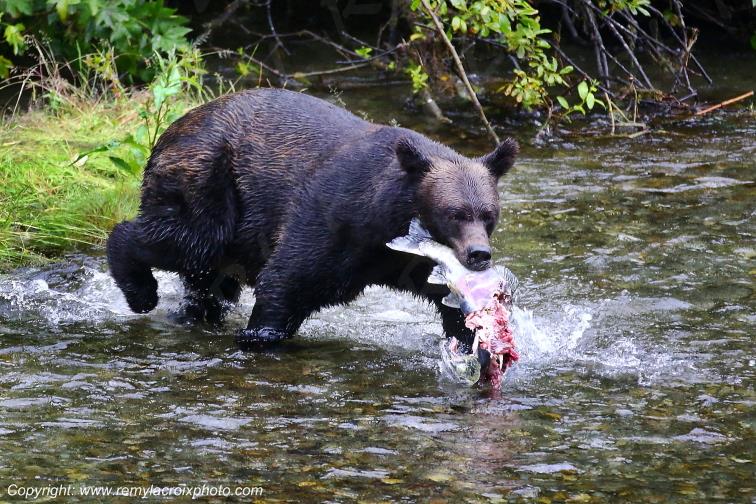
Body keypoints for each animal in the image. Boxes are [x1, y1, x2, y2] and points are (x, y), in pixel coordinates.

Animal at [107, 88, 518, 352]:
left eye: (489, 214)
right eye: (454, 213)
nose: (478, 254)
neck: (389, 221)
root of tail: (174, 125)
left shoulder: (409, 262)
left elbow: (450, 305)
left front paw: (474, 339)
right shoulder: (338, 217)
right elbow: (290, 276)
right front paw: (260, 334)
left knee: (208, 277)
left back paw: (195, 313)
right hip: (210, 179)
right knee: (189, 240)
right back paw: (141, 291)